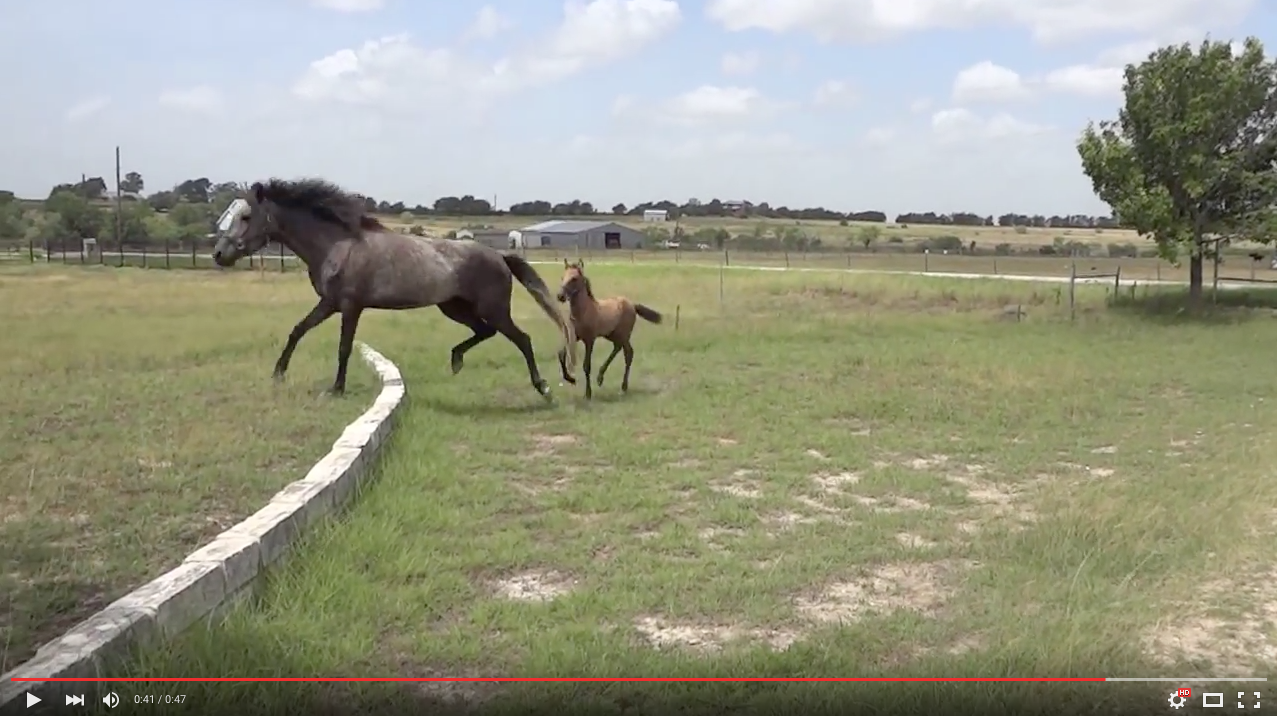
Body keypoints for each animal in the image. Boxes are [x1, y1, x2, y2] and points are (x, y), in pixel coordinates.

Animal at [210, 178, 576, 398]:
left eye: (245, 217)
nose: (218, 254)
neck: (337, 245)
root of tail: (499, 256)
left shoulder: (350, 305)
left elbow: (344, 347)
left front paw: (336, 388)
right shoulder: (329, 303)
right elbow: (297, 330)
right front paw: (278, 374)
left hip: (492, 309)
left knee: (521, 338)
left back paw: (543, 387)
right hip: (454, 307)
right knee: (484, 332)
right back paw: (456, 362)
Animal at [555, 259, 662, 399]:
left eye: (574, 279)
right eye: (562, 277)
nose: (560, 296)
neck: (583, 312)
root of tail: (632, 305)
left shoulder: (590, 340)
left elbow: (586, 365)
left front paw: (588, 393)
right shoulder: (573, 337)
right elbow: (561, 353)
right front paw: (570, 379)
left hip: (623, 335)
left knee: (628, 353)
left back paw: (621, 386)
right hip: (612, 335)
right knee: (619, 348)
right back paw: (602, 378)